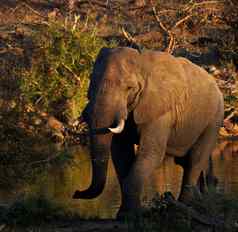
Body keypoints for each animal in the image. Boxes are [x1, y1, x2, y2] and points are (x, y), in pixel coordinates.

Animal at [72, 46, 223, 218]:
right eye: (91, 82)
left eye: (129, 88)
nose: (76, 193)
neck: (142, 64)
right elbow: (121, 153)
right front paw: (129, 213)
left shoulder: (161, 110)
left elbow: (151, 153)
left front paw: (129, 216)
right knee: (187, 162)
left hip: (214, 119)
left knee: (195, 160)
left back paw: (186, 206)